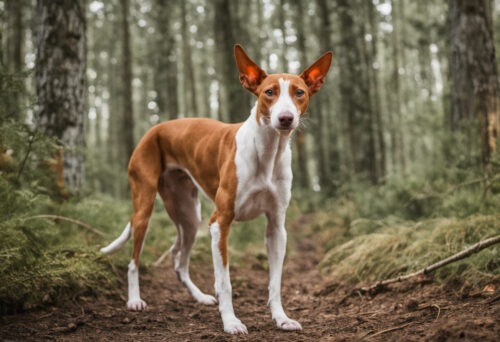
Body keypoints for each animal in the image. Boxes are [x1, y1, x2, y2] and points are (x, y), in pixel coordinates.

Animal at [100, 44, 332, 334]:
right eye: (269, 92)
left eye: (299, 93)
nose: (286, 118)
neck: (267, 152)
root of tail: (155, 128)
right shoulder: (219, 222)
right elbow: (225, 283)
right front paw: (231, 321)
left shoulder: (277, 228)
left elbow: (275, 282)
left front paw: (281, 318)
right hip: (145, 207)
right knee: (134, 261)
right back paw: (134, 299)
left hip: (189, 215)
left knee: (178, 259)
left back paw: (199, 296)